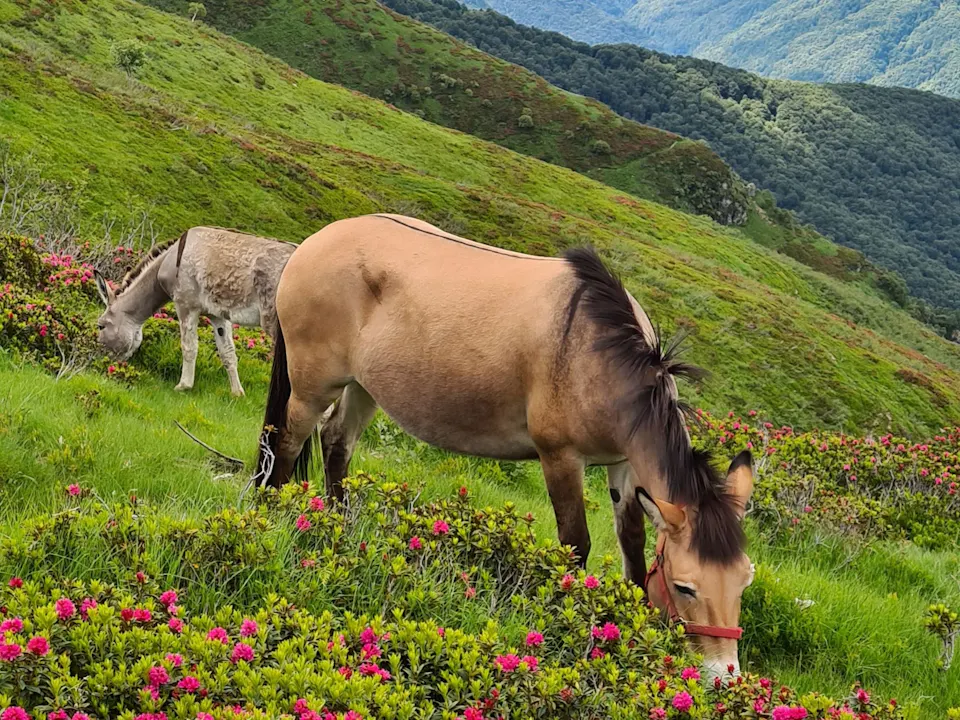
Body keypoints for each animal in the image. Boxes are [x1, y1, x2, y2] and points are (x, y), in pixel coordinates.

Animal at [94, 226, 296, 396]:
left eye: (100, 326)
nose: (104, 365)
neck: (169, 262)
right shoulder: (217, 315)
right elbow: (227, 352)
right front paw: (237, 393)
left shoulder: (185, 305)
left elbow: (188, 347)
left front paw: (183, 386)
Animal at [255, 213, 755, 678]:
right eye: (687, 587)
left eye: (743, 582)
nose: (722, 676)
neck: (602, 357)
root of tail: (314, 244)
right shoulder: (561, 457)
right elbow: (575, 544)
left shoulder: (624, 465)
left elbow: (632, 544)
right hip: (312, 386)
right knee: (288, 442)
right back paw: (276, 513)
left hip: (363, 387)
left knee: (336, 444)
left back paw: (338, 525)